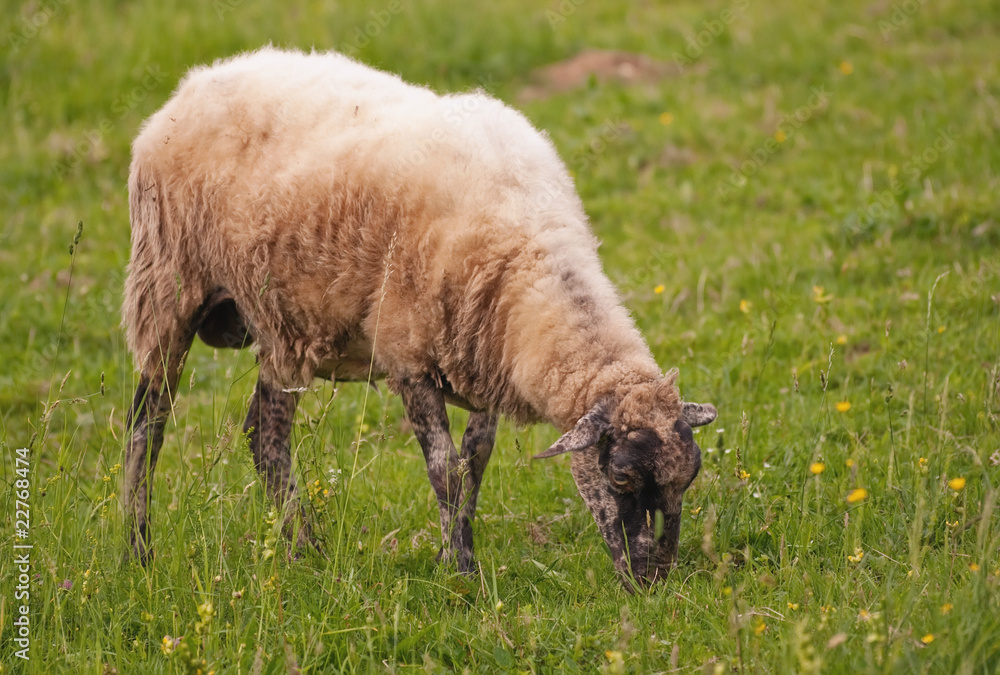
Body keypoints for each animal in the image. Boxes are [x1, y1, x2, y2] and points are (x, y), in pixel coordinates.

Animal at [122, 47, 717, 588]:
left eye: (688, 480)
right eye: (619, 477)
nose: (653, 581)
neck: (530, 257)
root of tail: (194, 83)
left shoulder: (482, 354)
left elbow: (474, 463)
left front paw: (451, 550)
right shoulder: (408, 356)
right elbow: (443, 468)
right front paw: (463, 572)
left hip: (282, 326)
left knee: (263, 434)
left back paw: (303, 551)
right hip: (166, 284)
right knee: (147, 426)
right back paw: (139, 551)